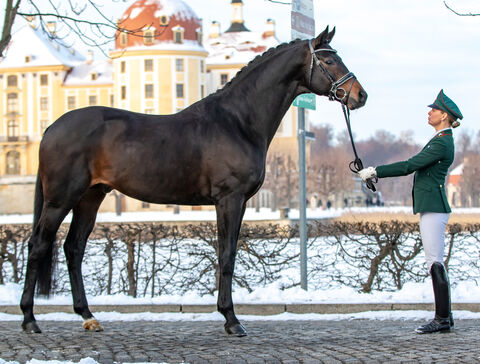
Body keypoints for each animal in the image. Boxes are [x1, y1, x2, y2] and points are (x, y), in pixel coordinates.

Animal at [20, 27, 368, 336]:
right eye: (330, 60)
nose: (360, 95)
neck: (237, 121)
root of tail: (51, 128)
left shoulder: (235, 202)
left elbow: (228, 252)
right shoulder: (230, 199)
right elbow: (226, 255)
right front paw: (232, 320)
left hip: (90, 197)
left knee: (73, 248)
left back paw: (88, 317)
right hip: (60, 199)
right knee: (38, 245)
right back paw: (29, 319)